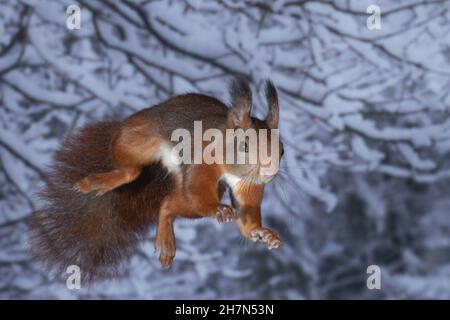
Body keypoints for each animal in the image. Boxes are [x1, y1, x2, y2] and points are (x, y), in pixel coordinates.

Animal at [29, 79, 284, 280]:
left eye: (281, 150)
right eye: (245, 146)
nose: (270, 173)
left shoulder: (249, 185)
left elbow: (246, 212)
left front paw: (262, 233)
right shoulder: (202, 161)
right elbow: (199, 190)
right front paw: (217, 208)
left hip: (187, 192)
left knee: (168, 205)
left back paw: (166, 239)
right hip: (135, 140)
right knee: (134, 170)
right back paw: (103, 180)